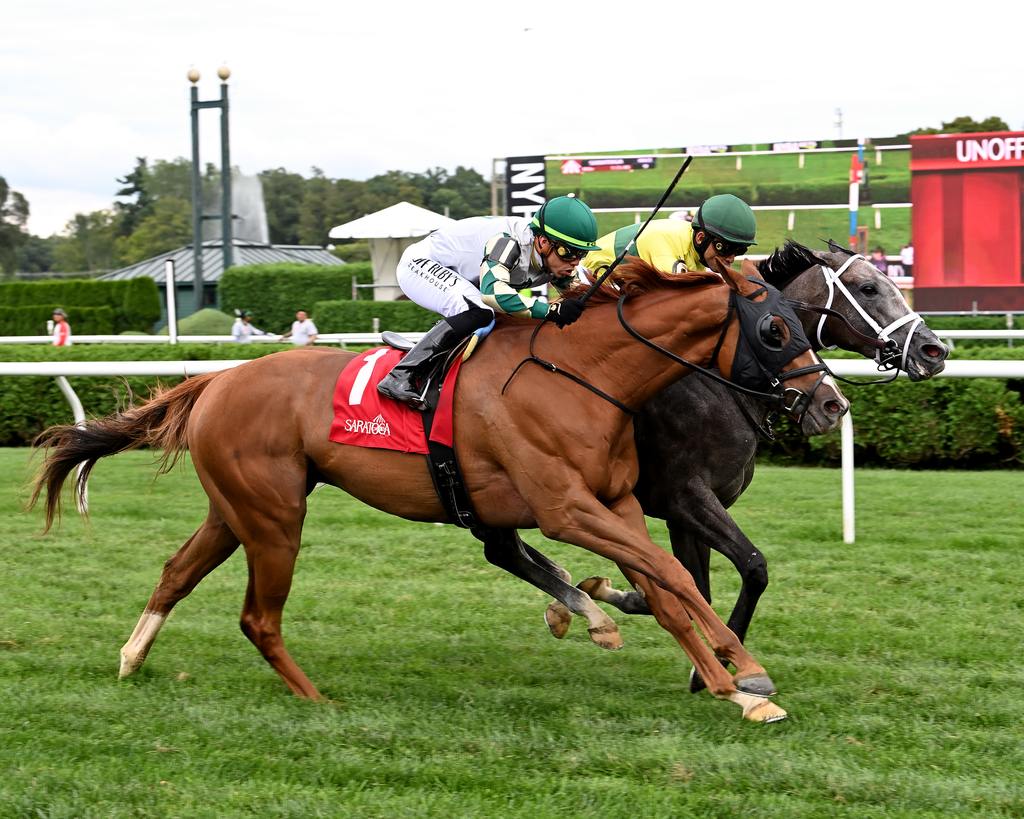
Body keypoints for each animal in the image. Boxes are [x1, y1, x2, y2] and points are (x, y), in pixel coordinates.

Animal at [32, 255, 847, 724]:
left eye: (796, 321)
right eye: (774, 329)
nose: (831, 403)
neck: (587, 376)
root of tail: (215, 379)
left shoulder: (617, 503)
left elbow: (673, 587)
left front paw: (729, 681)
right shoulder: (568, 509)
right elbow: (674, 575)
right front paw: (743, 676)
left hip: (236, 509)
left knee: (177, 571)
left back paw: (132, 659)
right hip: (274, 517)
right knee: (258, 617)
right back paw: (317, 699)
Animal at [475, 239, 946, 687]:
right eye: (869, 288)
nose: (934, 349)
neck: (717, 385)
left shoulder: (686, 514)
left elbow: (692, 583)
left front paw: (624, 597)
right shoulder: (685, 498)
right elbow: (750, 567)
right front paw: (720, 665)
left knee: (502, 549)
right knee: (502, 547)